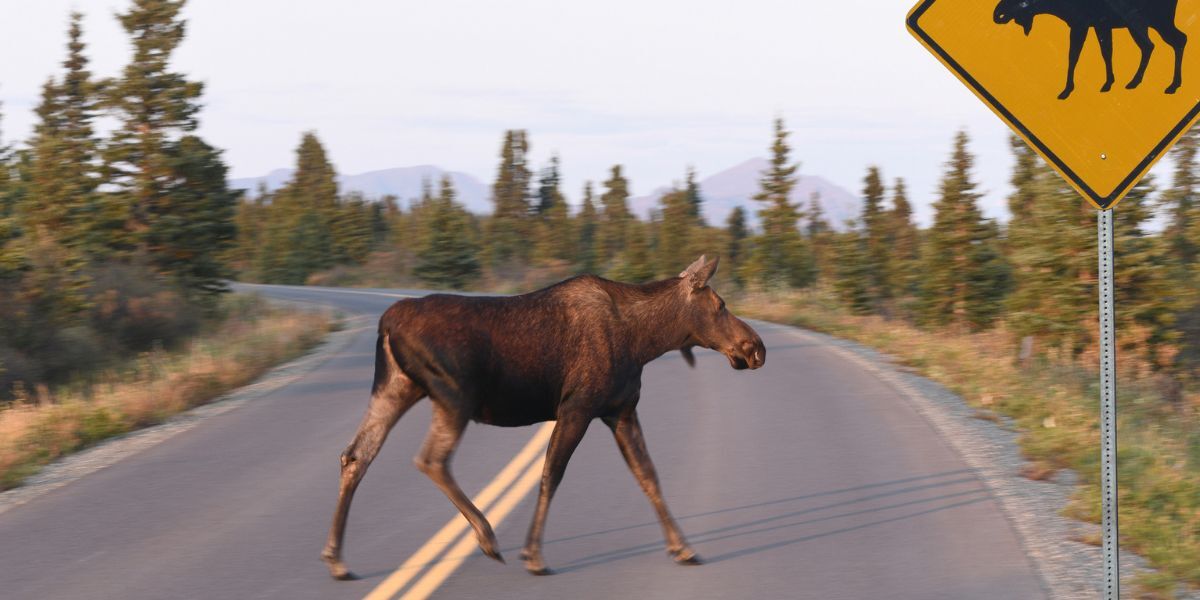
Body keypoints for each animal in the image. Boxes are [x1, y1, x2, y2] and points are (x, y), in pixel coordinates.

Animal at [321, 256, 766, 579]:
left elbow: (648, 476)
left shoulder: (620, 410)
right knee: (431, 459)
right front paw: (533, 554)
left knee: (356, 455)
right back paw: (487, 536)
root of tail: (387, 322)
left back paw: (336, 558)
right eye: (720, 305)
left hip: (397, 387)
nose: (755, 347)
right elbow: (551, 475)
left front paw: (683, 547)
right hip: (453, 396)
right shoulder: (577, 408)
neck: (646, 340)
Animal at [992, 0, 1187, 100]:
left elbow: (1073, 55)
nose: (999, 11)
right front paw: (1108, 82)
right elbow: (1107, 52)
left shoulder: (1080, 24)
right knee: (1153, 45)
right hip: (1143, 23)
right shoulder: (1101, 25)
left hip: (1154, 20)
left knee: (1176, 40)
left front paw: (1066, 90)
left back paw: (1172, 85)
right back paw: (1136, 81)